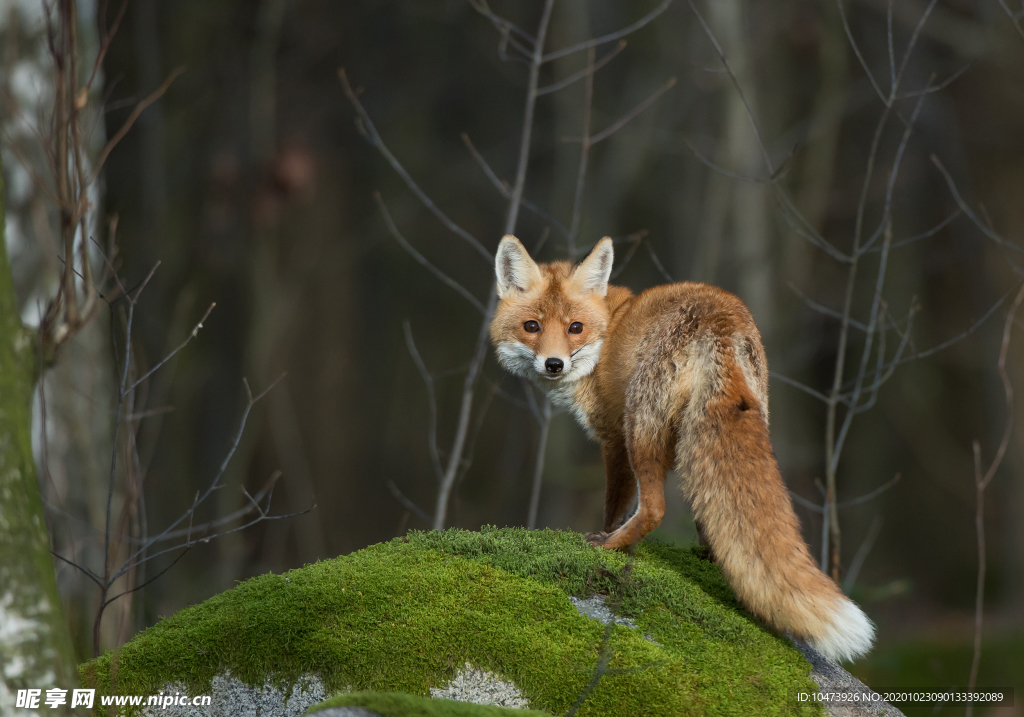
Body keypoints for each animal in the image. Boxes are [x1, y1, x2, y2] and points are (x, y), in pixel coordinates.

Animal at [491, 233, 876, 659]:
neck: (609, 329)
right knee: (715, 519)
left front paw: (605, 535)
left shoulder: (613, 437)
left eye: (575, 328)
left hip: (641, 429)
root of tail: (722, 320)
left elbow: (613, 506)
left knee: (654, 509)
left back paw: (608, 548)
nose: (554, 364)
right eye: (532, 326)